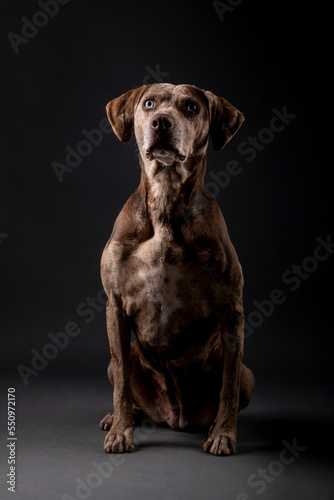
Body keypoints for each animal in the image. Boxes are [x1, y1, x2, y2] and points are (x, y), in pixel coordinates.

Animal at [98, 84, 253, 456]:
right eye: (149, 103)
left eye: (191, 107)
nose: (162, 122)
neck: (166, 203)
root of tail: (174, 417)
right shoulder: (115, 306)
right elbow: (122, 382)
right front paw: (122, 432)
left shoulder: (232, 311)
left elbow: (227, 386)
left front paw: (223, 434)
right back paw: (120, 416)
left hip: (248, 375)